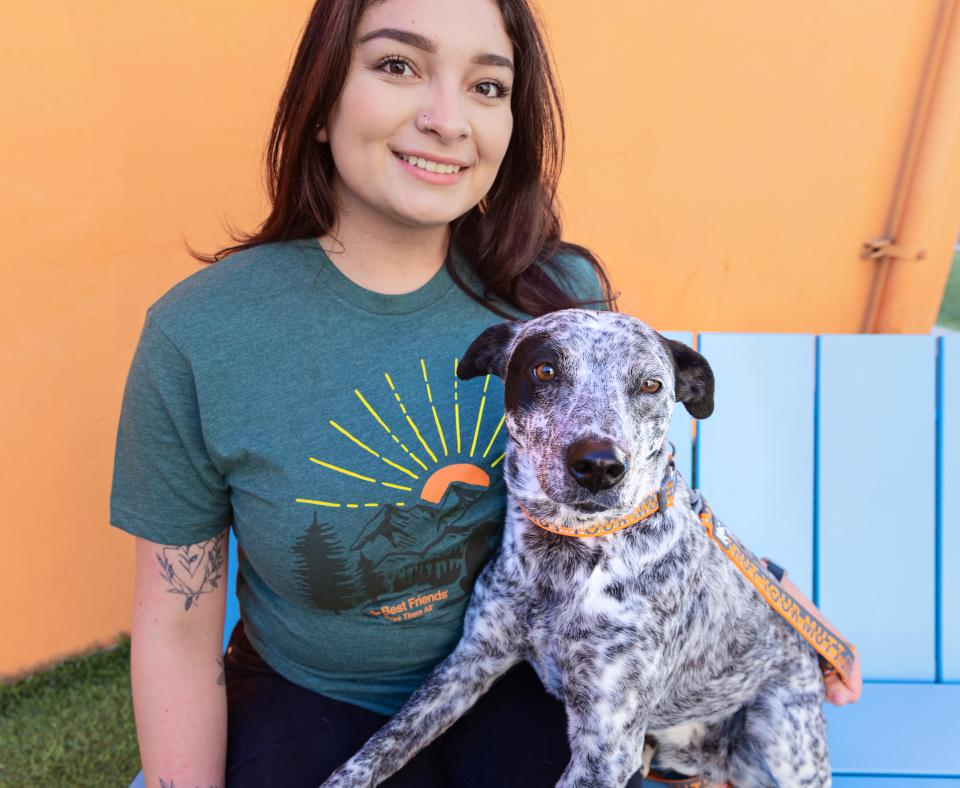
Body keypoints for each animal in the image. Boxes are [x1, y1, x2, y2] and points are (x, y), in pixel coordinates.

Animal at [318, 310, 828, 788]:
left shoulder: (607, 745)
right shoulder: (470, 661)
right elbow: (377, 750)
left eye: (651, 384)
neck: (566, 551)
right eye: (544, 370)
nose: (599, 465)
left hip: (780, 743)